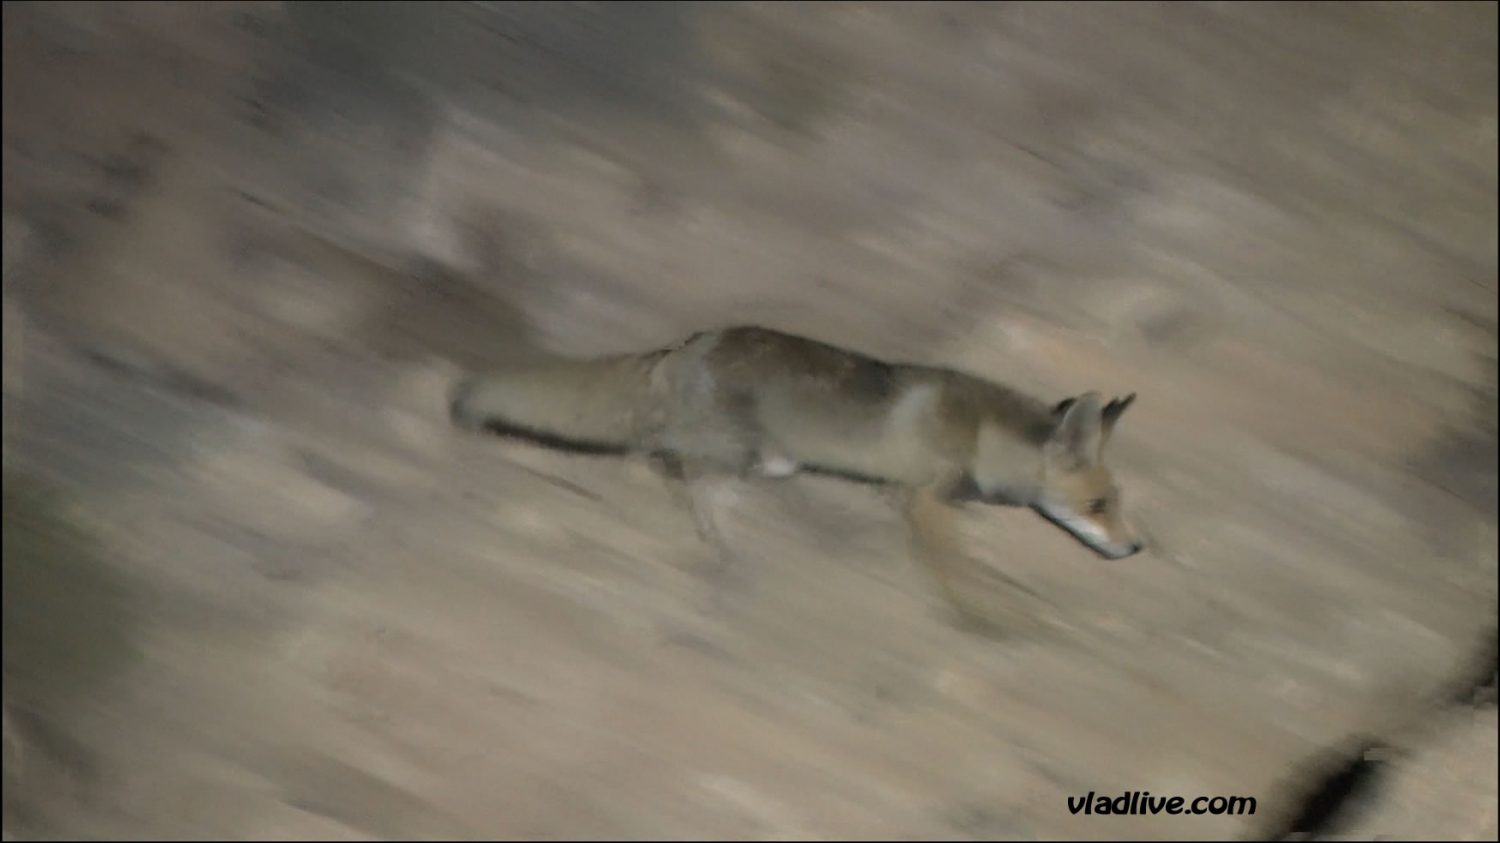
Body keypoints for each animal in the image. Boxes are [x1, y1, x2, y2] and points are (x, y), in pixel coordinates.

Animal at [449, 325, 1142, 628]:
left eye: (1117, 501)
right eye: (1099, 505)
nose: (1135, 548)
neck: (981, 437)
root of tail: (686, 347)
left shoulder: (909, 495)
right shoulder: (923, 502)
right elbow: (957, 574)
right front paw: (980, 614)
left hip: (755, 456)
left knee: (662, 460)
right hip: (739, 456)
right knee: (688, 481)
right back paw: (730, 559)